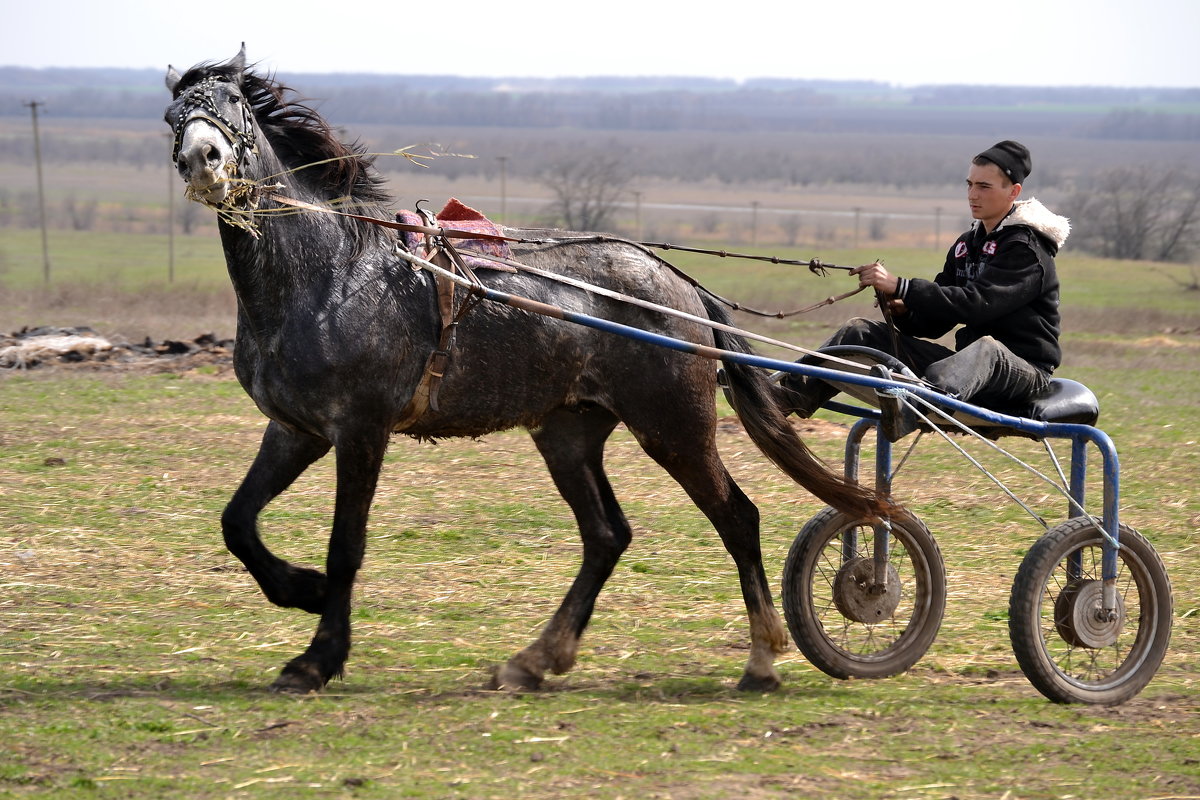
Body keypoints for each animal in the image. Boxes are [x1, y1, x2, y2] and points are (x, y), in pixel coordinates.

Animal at [164, 48, 888, 695]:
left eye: (232, 105)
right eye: (173, 115)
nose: (203, 161)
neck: (332, 273)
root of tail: (676, 282)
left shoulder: (361, 432)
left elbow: (346, 546)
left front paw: (318, 658)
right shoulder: (297, 431)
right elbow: (237, 521)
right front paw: (300, 589)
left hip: (674, 427)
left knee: (737, 518)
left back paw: (762, 658)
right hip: (568, 433)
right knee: (606, 535)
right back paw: (535, 660)